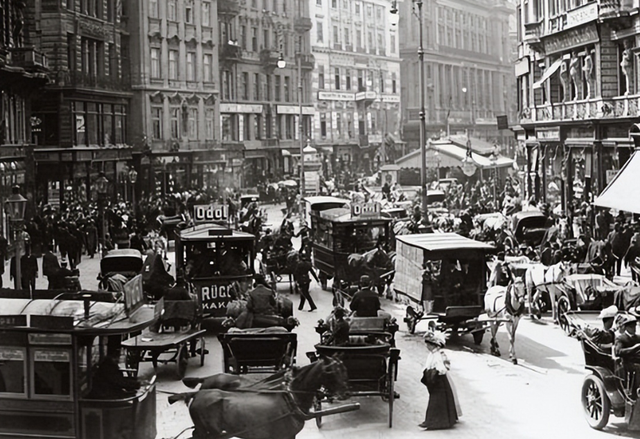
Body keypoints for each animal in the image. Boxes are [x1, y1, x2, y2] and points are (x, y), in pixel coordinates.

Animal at [170, 358, 348, 439]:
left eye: (343, 369)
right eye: (331, 372)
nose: (345, 393)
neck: (290, 398)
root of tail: (197, 393)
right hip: (210, 433)